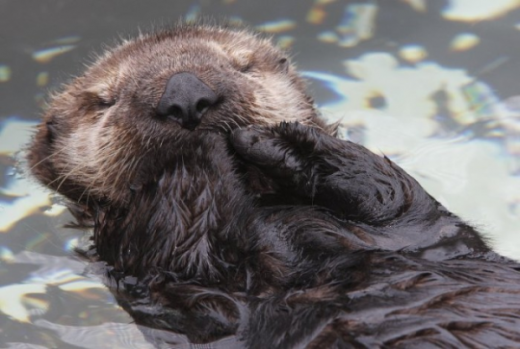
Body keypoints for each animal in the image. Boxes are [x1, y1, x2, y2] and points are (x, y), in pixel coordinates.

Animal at [26, 23, 520, 346]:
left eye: (243, 66)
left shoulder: (426, 234)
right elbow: (187, 249)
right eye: (102, 101)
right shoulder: (170, 286)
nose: (185, 95)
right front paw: (195, 158)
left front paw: (280, 144)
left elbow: (396, 200)